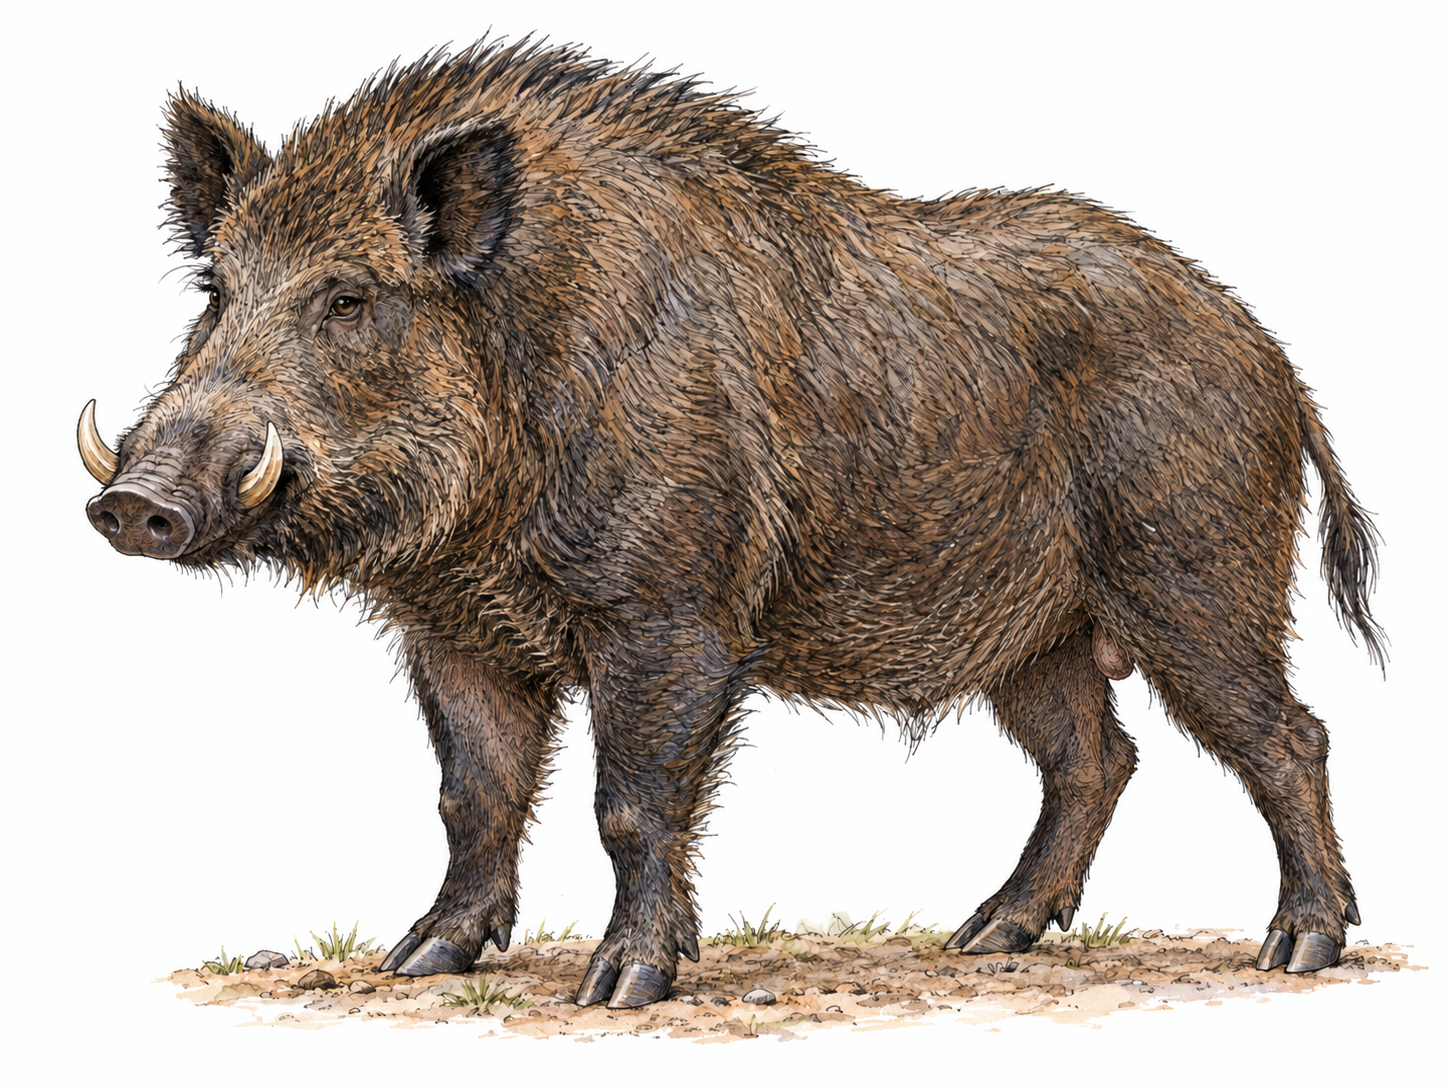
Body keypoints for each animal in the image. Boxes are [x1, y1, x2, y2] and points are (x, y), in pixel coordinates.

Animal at [79, 39, 1384, 1009]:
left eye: (348, 297)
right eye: (216, 289)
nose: (133, 503)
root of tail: (1270, 361)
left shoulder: (670, 612)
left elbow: (629, 800)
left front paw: (620, 989)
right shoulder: (454, 629)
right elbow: (472, 794)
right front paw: (419, 963)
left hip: (1191, 570)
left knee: (1287, 736)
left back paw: (1296, 952)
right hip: (1036, 632)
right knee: (1092, 756)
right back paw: (983, 938)